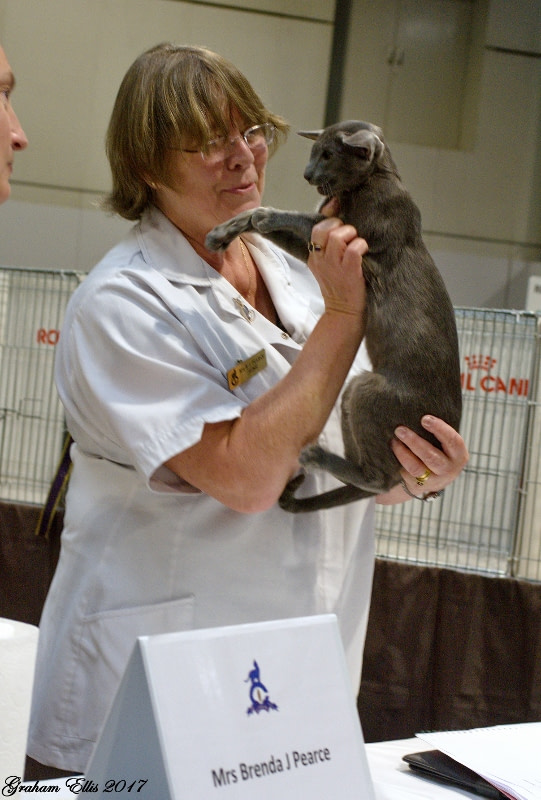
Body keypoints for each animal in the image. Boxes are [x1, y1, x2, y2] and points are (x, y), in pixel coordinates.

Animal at [205, 120, 462, 512]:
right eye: (314, 152)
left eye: (327, 154)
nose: (307, 173)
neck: (375, 179)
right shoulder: (322, 240)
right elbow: (283, 230)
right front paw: (226, 230)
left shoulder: (359, 235)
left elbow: (301, 218)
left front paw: (262, 214)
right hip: (355, 392)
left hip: (368, 392)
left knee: (376, 478)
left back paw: (318, 458)